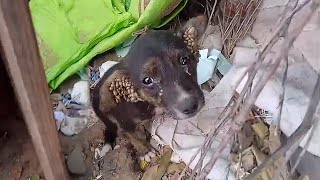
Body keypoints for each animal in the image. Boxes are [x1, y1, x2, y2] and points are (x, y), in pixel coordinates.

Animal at [91, 16, 209, 158]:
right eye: (147, 80)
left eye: (184, 60)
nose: (190, 106)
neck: (149, 103)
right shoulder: (125, 122)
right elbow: (134, 137)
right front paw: (145, 151)